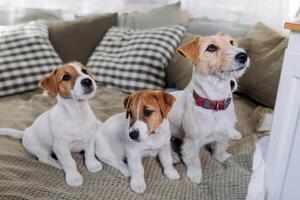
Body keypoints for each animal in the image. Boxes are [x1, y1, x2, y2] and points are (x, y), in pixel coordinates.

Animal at [168, 33, 250, 184]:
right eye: (211, 48)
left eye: (231, 43)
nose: (243, 55)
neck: (215, 103)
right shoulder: (192, 141)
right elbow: (194, 160)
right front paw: (195, 175)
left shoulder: (223, 133)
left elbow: (220, 149)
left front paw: (222, 157)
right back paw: (174, 157)